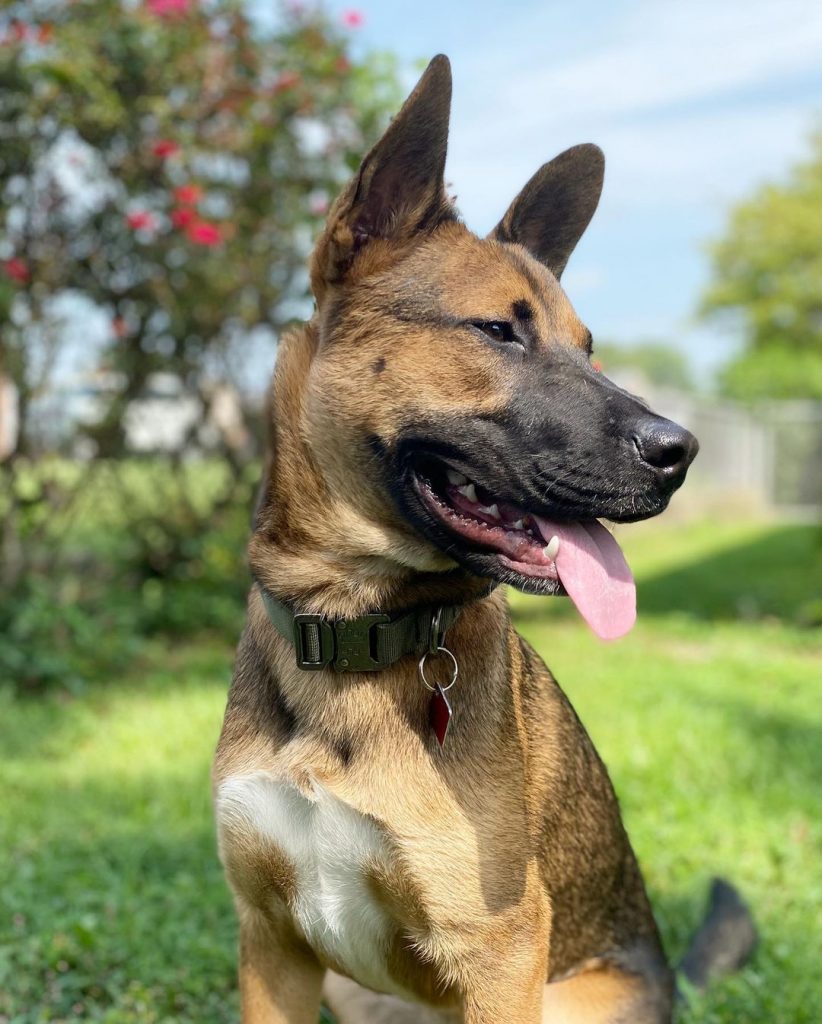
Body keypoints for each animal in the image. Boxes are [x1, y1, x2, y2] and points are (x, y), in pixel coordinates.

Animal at [213, 58, 757, 1024]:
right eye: (497, 331)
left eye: (589, 349)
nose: (679, 453)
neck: (350, 637)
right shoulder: (269, 943)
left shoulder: (500, 954)